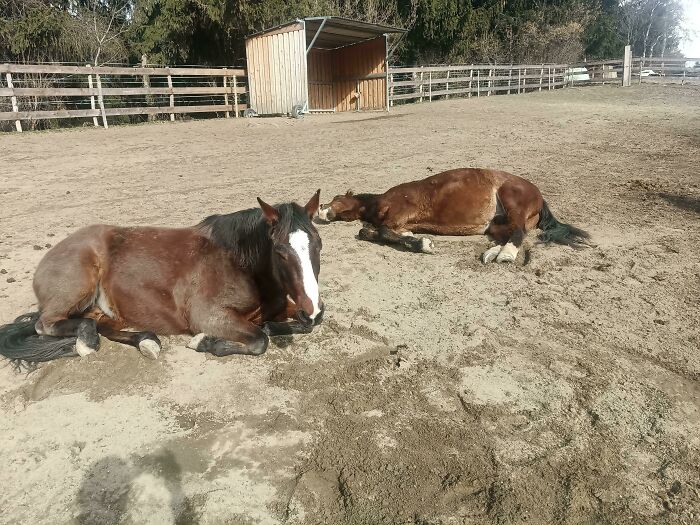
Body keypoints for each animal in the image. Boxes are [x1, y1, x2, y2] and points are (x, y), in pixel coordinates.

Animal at [0, 191, 324, 365]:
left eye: (318, 244)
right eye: (280, 251)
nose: (313, 310)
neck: (240, 264)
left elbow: (293, 327)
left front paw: (277, 325)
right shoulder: (209, 316)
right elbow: (259, 342)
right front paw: (203, 343)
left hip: (108, 310)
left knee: (100, 325)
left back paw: (146, 341)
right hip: (76, 288)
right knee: (46, 324)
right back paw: (85, 345)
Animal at [318, 168, 589, 262]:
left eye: (337, 198)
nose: (320, 209)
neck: (379, 202)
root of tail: (538, 195)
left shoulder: (397, 216)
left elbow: (382, 232)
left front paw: (424, 244)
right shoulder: (400, 224)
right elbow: (369, 232)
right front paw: (415, 240)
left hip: (513, 204)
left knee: (519, 232)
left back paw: (505, 256)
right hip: (497, 224)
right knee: (512, 232)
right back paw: (492, 253)